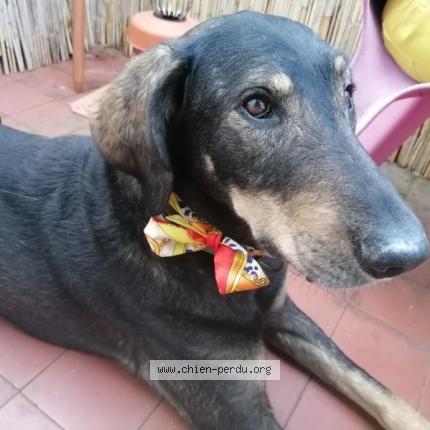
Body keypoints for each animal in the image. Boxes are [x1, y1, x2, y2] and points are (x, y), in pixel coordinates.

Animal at [0, 11, 429, 430]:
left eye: (348, 93)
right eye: (256, 105)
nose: (409, 256)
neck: (219, 247)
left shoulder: (284, 313)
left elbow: (376, 388)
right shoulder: (231, 398)